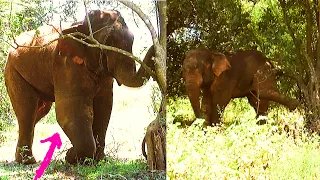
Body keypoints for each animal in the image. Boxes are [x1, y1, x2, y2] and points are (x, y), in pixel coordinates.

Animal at [4, 9, 155, 165]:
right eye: (107, 41)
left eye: (132, 39)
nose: (155, 47)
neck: (81, 25)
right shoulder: (66, 65)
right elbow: (70, 111)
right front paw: (70, 156)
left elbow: (104, 107)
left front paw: (97, 160)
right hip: (13, 71)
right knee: (27, 111)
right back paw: (27, 161)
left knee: (39, 112)